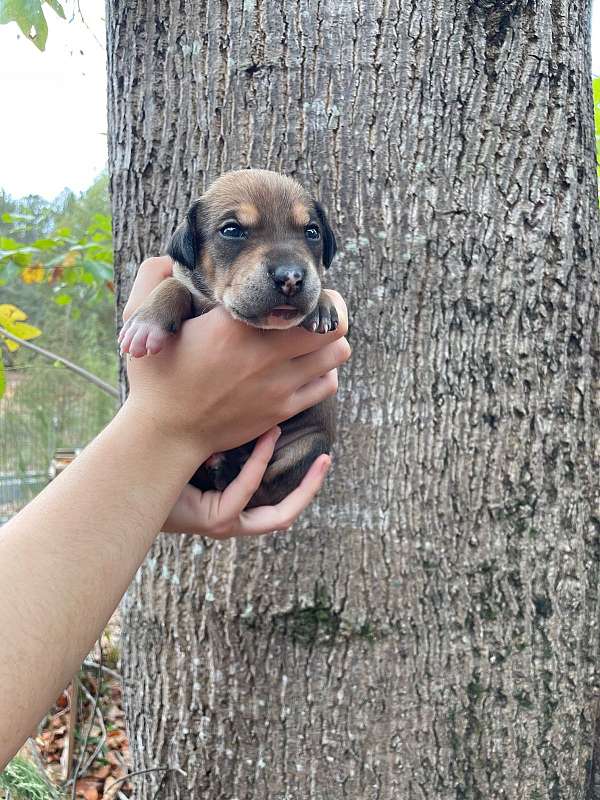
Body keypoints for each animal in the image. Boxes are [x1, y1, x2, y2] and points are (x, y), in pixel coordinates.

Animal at [119, 169, 340, 506]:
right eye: (232, 230)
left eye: (312, 232)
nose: (291, 277)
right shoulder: (189, 286)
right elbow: (174, 285)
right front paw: (147, 322)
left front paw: (322, 305)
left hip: (308, 443)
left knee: (261, 488)